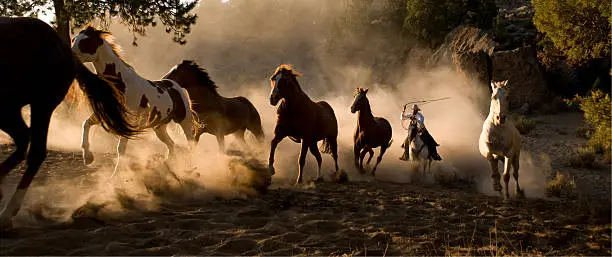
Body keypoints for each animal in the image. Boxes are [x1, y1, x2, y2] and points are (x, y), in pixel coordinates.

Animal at [0, 17, 139, 226]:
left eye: (85, 42)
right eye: (76, 39)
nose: (75, 52)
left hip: (35, 105)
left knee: (33, 149)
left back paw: (7, 212)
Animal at [71, 25, 196, 178]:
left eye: (86, 42)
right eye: (74, 39)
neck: (121, 83)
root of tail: (174, 84)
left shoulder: (127, 121)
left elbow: (121, 149)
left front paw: (115, 176)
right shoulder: (108, 116)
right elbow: (86, 124)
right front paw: (88, 157)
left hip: (184, 121)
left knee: (190, 144)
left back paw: (191, 169)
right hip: (159, 127)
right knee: (172, 145)